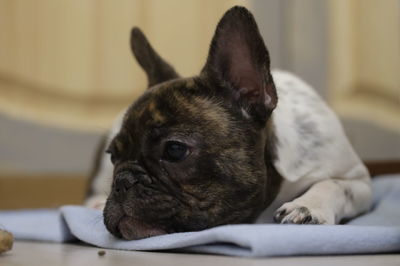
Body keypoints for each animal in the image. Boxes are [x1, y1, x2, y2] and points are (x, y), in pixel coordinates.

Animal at [84, 5, 372, 241]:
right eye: (113, 156)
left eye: (174, 150)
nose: (122, 181)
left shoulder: (360, 181)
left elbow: (334, 184)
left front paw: (309, 206)